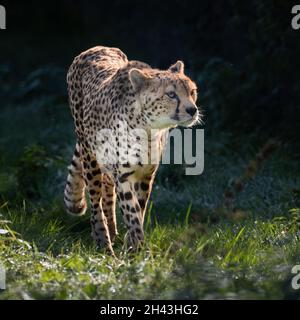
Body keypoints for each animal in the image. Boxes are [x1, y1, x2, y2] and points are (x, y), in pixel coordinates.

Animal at [63, 45, 199, 255]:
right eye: (171, 94)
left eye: (192, 92)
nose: (193, 110)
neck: (149, 129)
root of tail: (97, 48)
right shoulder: (124, 176)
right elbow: (132, 214)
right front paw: (138, 250)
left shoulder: (146, 175)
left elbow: (139, 209)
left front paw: (131, 245)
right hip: (89, 157)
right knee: (95, 202)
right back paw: (103, 243)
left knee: (107, 190)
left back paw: (113, 231)